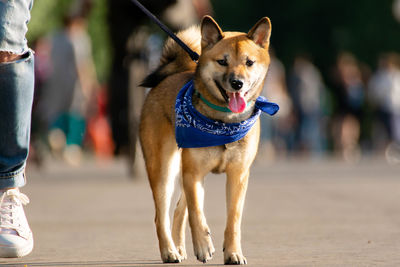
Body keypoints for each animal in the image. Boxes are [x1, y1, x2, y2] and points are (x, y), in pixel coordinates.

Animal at [139, 15, 276, 264]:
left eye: (249, 62)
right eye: (222, 61)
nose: (237, 83)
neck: (224, 123)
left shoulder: (238, 175)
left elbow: (234, 220)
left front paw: (233, 253)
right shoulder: (193, 173)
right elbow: (197, 213)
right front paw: (203, 246)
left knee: (177, 210)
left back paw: (179, 248)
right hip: (164, 170)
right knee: (161, 215)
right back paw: (170, 251)